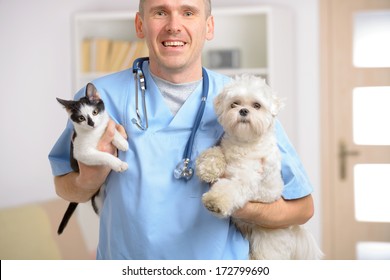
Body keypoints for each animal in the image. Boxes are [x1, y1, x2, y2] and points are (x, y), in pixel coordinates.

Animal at [56, 82, 128, 234]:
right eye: (81, 118)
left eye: (95, 112)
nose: (92, 123)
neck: (95, 133)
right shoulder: (81, 152)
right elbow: (103, 155)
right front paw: (118, 164)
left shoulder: (106, 124)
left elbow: (109, 127)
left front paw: (121, 141)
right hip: (97, 200)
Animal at [197, 75, 322, 260]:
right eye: (234, 103)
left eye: (256, 105)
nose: (243, 111)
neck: (244, 143)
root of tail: (293, 229)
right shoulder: (224, 148)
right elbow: (214, 152)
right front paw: (208, 167)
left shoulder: (247, 179)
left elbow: (229, 189)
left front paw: (215, 201)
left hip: (268, 238)